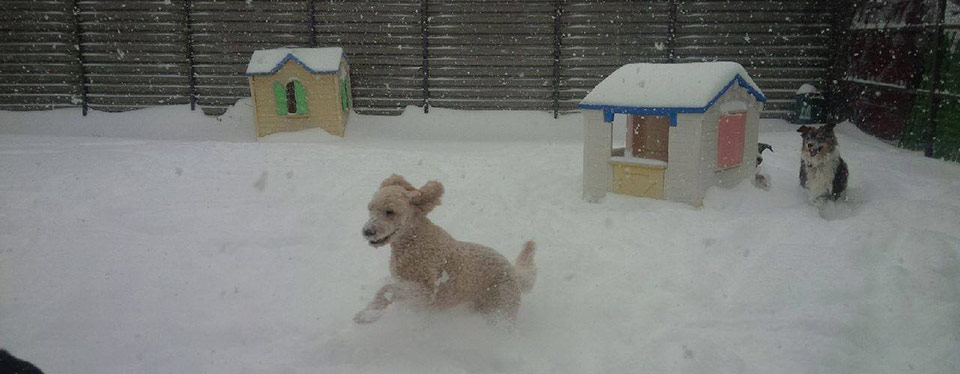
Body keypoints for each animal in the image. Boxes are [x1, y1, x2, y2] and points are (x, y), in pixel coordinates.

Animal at [354, 175, 536, 324]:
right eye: (370, 208)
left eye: (390, 211)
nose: (367, 231)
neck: (414, 241)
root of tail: (513, 272)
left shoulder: (426, 292)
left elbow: (387, 289)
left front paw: (368, 314)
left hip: (500, 311)